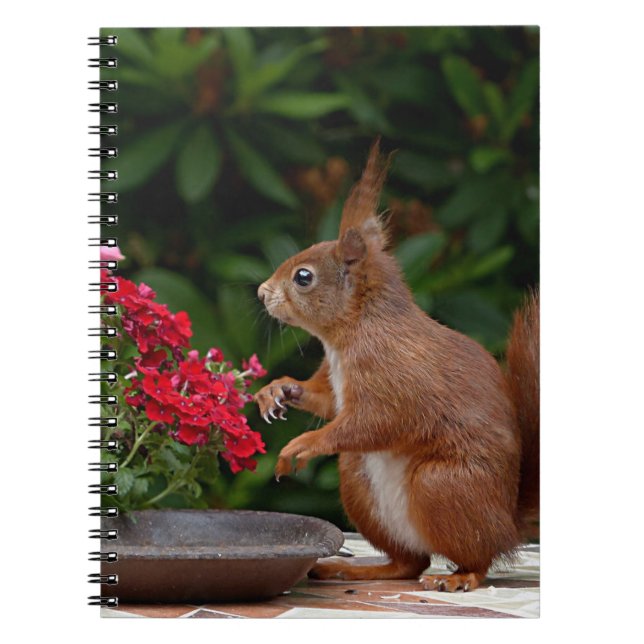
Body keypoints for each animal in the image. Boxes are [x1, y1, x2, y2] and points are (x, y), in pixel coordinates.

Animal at [255, 140, 539, 592]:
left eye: (303, 277)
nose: (262, 293)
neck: (352, 332)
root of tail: (508, 525)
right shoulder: (336, 383)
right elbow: (326, 402)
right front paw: (277, 390)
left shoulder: (394, 374)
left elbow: (376, 421)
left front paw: (303, 444)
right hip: (357, 479)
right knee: (410, 562)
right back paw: (355, 569)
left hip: (443, 485)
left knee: (476, 556)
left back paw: (461, 577)